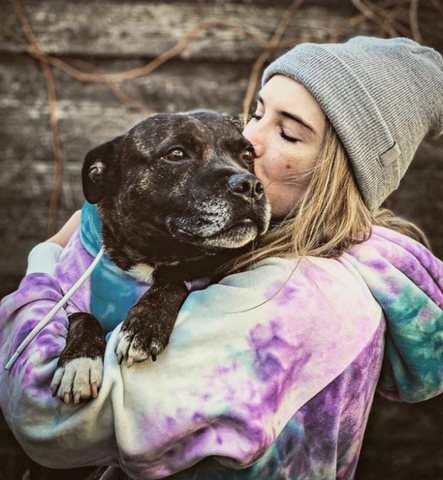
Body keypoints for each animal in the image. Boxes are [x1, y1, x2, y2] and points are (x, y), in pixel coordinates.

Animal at [48, 110, 270, 404]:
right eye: (176, 154)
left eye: (247, 154)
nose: (251, 185)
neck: (150, 254)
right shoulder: (66, 296)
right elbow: (83, 318)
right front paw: (79, 364)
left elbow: (172, 280)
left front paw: (145, 324)